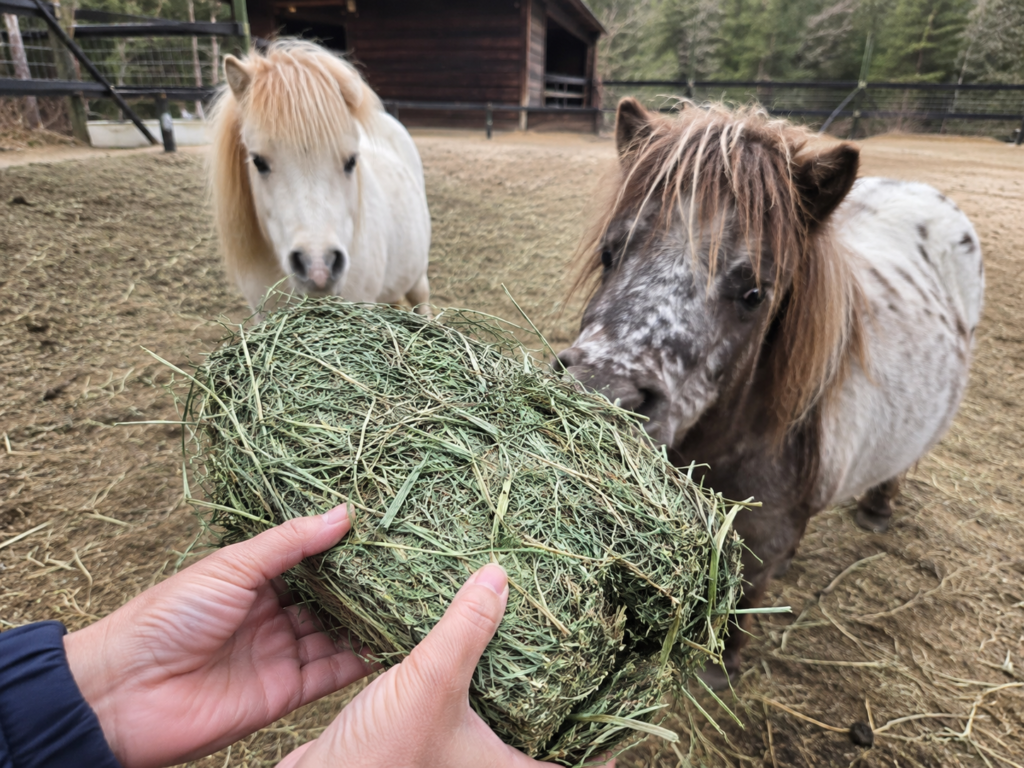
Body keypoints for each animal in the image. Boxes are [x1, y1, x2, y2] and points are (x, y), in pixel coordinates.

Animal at [557, 98, 984, 688]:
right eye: (608, 253)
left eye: (754, 293)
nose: (600, 390)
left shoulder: (756, 538)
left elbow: (748, 592)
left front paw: (721, 667)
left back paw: (877, 509)